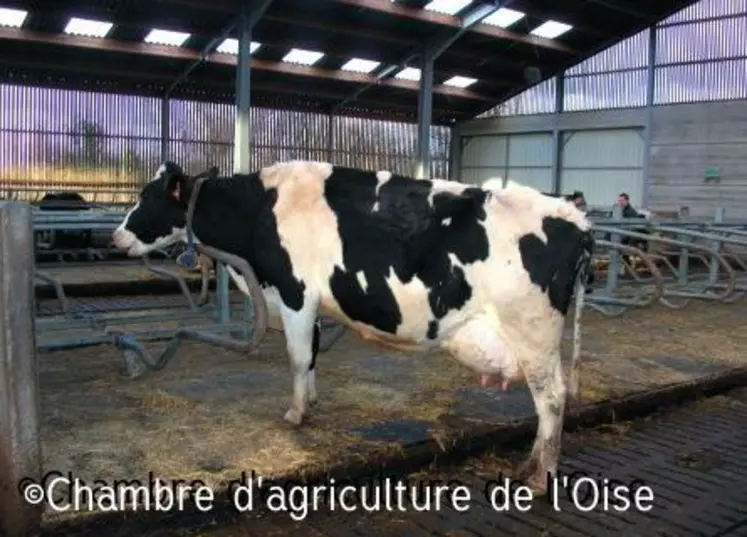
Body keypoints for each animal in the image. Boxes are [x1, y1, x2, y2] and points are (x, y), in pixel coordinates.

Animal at [111, 160, 592, 490]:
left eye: (147, 197)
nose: (115, 237)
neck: (263, 208)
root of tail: (574, 219)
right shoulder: (312, 304)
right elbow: (311, 357)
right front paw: (312, 400)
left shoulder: (296, 293)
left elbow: (296, 357)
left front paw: (296, 414)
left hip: (532, 333)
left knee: (551, 399)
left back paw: (539, 474)